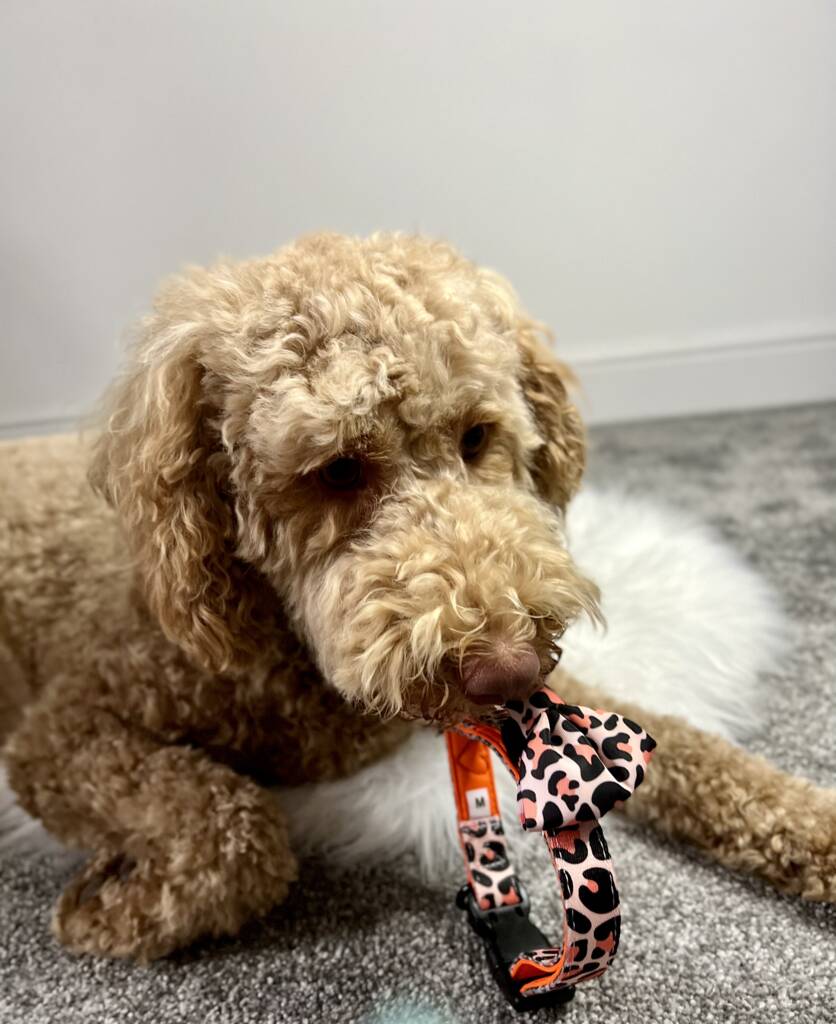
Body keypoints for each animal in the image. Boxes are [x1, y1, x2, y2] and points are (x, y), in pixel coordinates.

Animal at [1, 232, 836, 958]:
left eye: (477, 437)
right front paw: (110, 909)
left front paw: (815, 823)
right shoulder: (67, 728)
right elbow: (235, 830)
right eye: (337, 470)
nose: (507, 667)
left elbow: (691, 749)